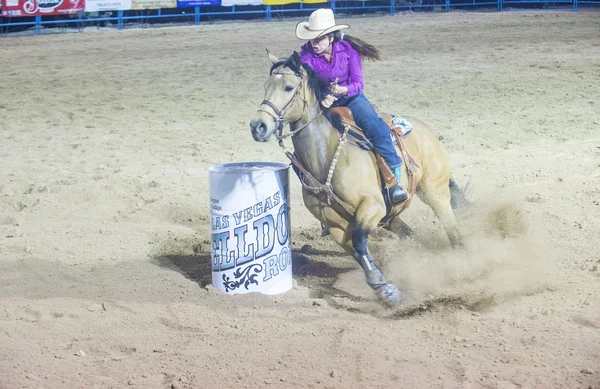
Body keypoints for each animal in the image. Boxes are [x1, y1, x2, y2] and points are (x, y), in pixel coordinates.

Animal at [248, 50, 468, 306]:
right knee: (410, 235)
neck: (325, 157)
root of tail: (425, 131)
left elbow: (360, 242)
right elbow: (358, 251)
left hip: (435, 192)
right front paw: (385, 287)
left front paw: (386, 288)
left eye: (288, 87)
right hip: (392, 216)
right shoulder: (335, 224)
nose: (258, 126)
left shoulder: (372, 206)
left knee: (453, 232)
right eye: (266, 86)